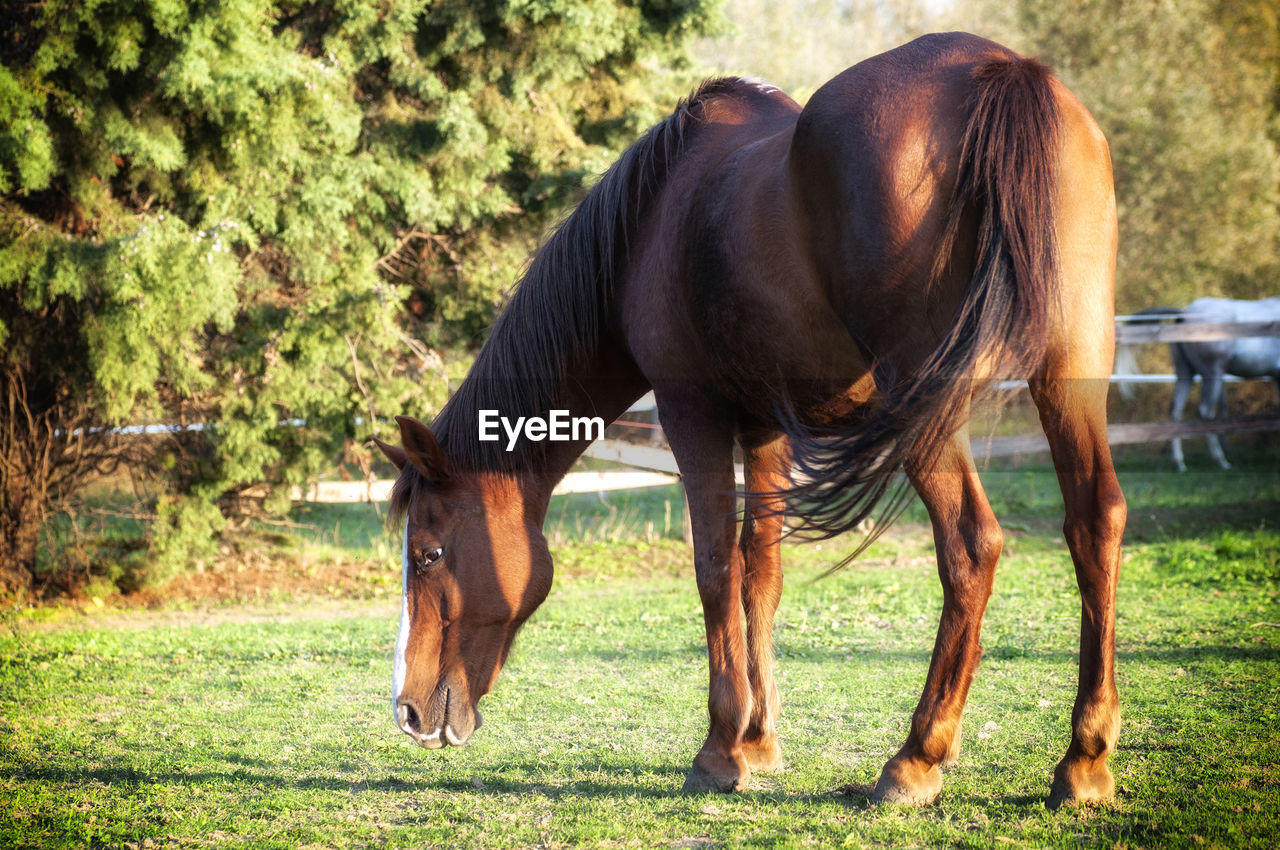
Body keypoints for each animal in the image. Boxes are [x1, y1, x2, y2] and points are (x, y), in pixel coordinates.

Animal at [373, 34, 1126, 809]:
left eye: (428, 553)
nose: (408, 712)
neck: (649, 223)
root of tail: (999, 71)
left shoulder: (692, 412)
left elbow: (714, 566)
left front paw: (719, 749)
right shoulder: (768, 428)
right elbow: (762, 569)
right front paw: (761, 741)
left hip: (926, 404)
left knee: (971, 545)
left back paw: (916, 758)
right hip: (1069, 374)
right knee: (1094, 522)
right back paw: (1084, 760)